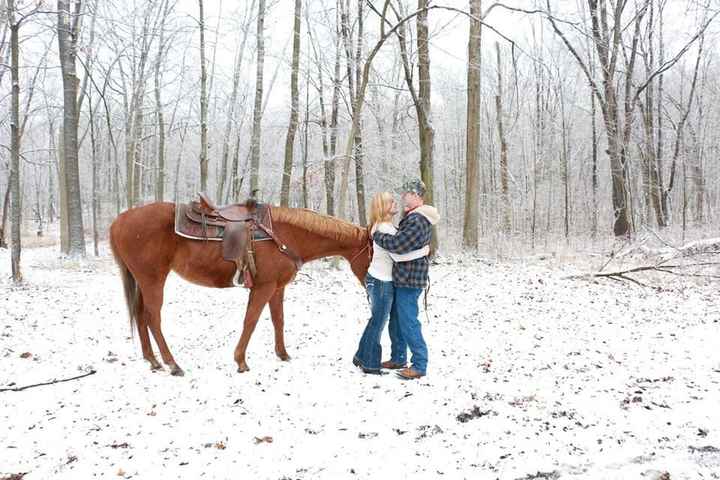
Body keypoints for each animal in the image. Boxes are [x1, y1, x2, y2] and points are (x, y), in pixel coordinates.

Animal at [109, 201, 372, 375]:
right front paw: (241, 361)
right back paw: (173, 364)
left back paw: (152, 360)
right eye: (373, 254)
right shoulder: (264, 287)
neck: (286, 235)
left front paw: (282, 354)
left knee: (140, 315)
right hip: (153, 279)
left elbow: (278, 320)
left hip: (143, 280)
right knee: (153, 317)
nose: (371, 285)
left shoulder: (277, 288)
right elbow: (251, 321)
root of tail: (118, 221)